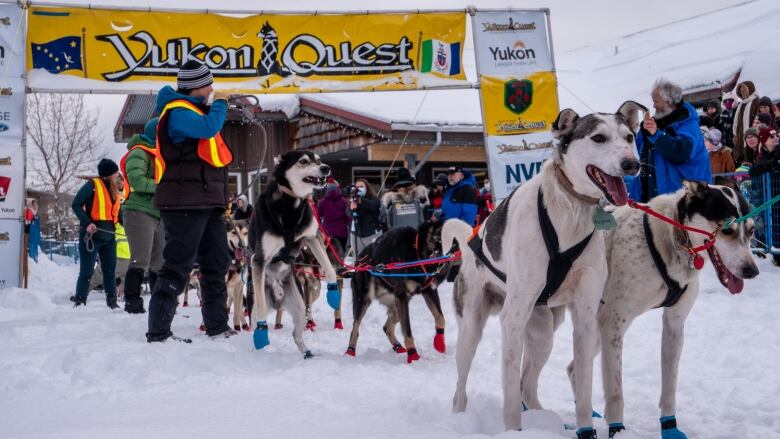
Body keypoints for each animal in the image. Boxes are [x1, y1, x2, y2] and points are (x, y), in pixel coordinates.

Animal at [247, 151, 338, 354]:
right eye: (303, 161)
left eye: (319, 160)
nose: (326, 168)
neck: (292, 204)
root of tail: (278, 300)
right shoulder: (259, 259)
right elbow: (261, 312)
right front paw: (262, 334)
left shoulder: (313, 237)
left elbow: (330, 269)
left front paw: (334, 293)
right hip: (256, 303)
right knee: (257, 318)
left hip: (300, 308)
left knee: (296, 335)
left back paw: (306, 353)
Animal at [444, 102, 644, 436]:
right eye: (599, 138)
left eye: (629, 137)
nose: (632, 164)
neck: (570, 211)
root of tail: (471, 241)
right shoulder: (513, 316)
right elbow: (510, 395)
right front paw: (513, 431)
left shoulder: (585, 316)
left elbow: (583, 388)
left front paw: (585, 429)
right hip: (472, 328)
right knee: (461, 387)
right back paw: (459, 419)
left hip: (542, 334)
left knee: (526, 383)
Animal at [520, 180, 760, 438]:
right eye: (726, 230)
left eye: (752, 231)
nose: (752, 271)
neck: (670, 238)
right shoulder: (614, 325)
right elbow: (616, 393)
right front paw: (617, 430)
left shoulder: (674, 325)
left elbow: (669, 387)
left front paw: (670, 427)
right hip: (552, 330)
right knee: (524, 377)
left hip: (592, 329)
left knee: (573, 368)